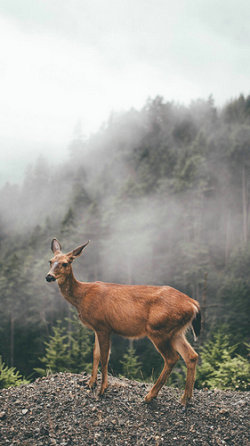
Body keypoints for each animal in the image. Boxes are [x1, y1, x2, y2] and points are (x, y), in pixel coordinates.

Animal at [45, 239, 201, 406]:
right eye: (50, 261)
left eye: (65, 263)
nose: (49, 276)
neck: (82, 297)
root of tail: (193, 304)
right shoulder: (96, 328)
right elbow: (95, 354)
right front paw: (90, 383)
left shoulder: (103, 326)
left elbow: (105, 358)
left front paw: (102, 389)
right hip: (175, 331)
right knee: (191, 356)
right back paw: (185, 398)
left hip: (158, 329)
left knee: (172, 358)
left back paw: (150, 396)